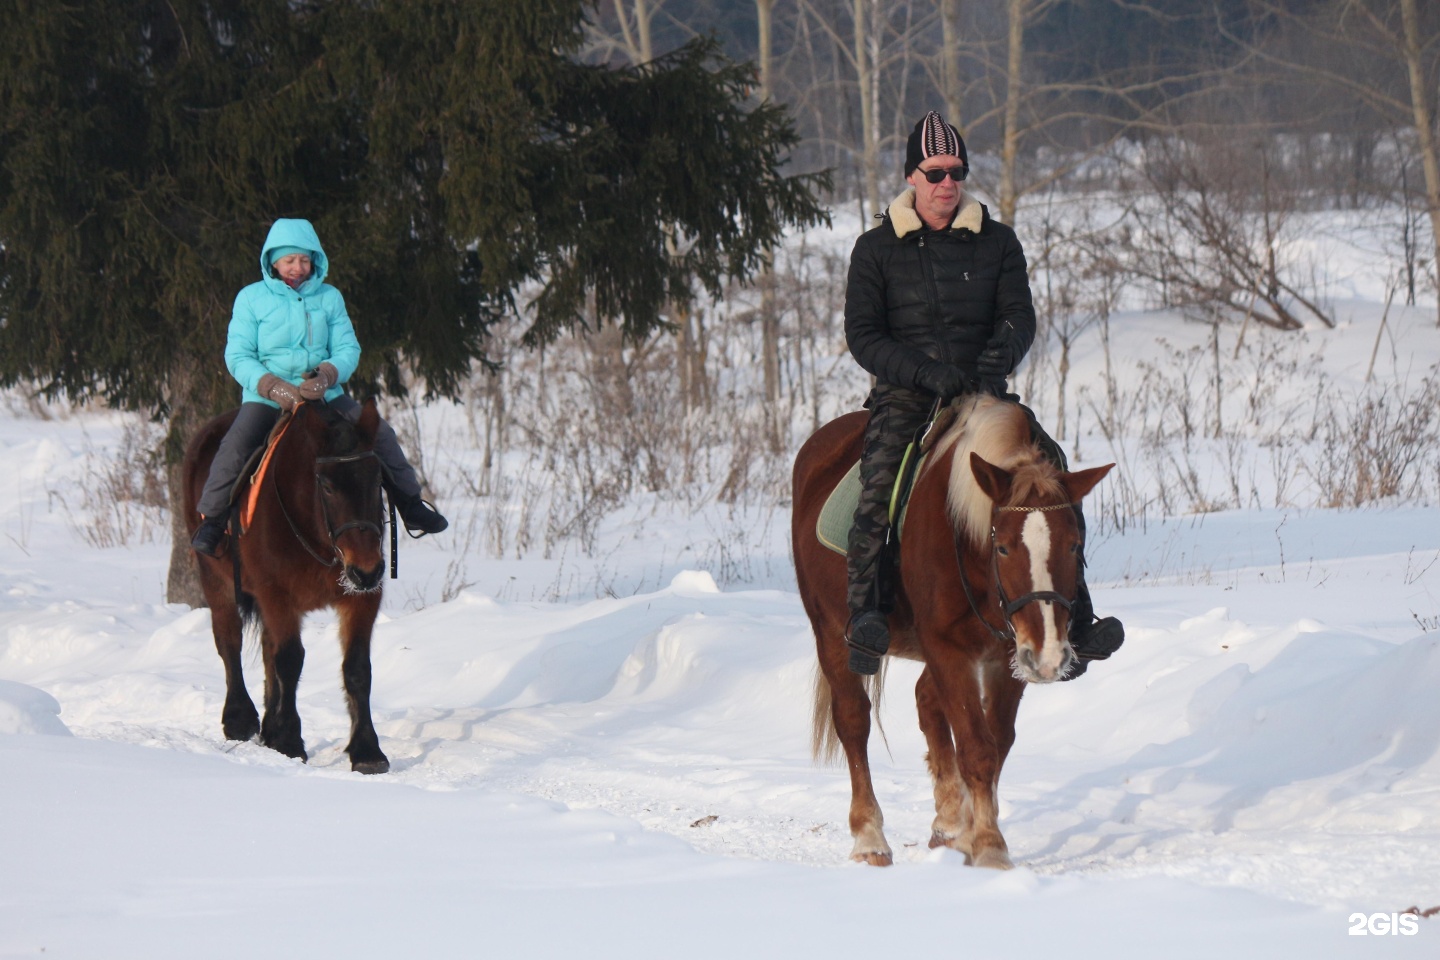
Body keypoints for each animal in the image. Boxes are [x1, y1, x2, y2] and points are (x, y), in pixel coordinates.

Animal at [182, 397, 391, 771]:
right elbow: (290, 661)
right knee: (229, 641)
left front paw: (367, 751)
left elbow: (357, 668)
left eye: (377, 478)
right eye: (327, 486)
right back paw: (240, 718)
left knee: (267, 649)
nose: (366, 571)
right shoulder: (277, 594)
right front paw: (290, 741)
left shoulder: (362, 599)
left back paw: (268, 725)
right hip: (215, 578)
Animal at [789, 394, 1111, 869]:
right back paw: (869, 838)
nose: (1051, 659)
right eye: (1003, 547)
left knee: (926, 702)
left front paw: (972, 834)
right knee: (853, 722)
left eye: (1074, 544)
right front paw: (991, 848)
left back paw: (948, 823)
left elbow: (997, 743)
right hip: (831, 633)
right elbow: (977, 747)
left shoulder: (1006, 656)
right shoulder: (948, 648)